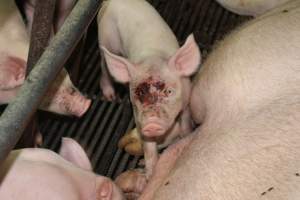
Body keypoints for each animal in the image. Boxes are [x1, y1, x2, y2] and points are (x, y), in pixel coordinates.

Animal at [98, 0, 202, 178]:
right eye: (138, 93)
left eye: (168, 91)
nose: (151, 123)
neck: (153, 56)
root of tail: (110, 2)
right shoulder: (138, 117)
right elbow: (148, 147)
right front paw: (149, 175)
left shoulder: (187, 101)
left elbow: (185, 124)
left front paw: (186, 136)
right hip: (105, 38)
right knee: (104, 67)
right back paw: (110, 97)